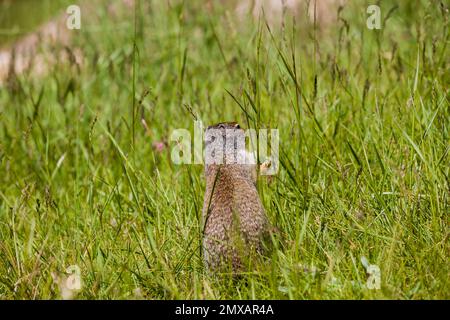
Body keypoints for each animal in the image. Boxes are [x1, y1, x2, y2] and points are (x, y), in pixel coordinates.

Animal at [202, 121, 268, 272]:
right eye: (236, 126)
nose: (241, 128)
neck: (219, 152)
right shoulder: (243, 160)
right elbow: (254, 174)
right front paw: (264, 163)